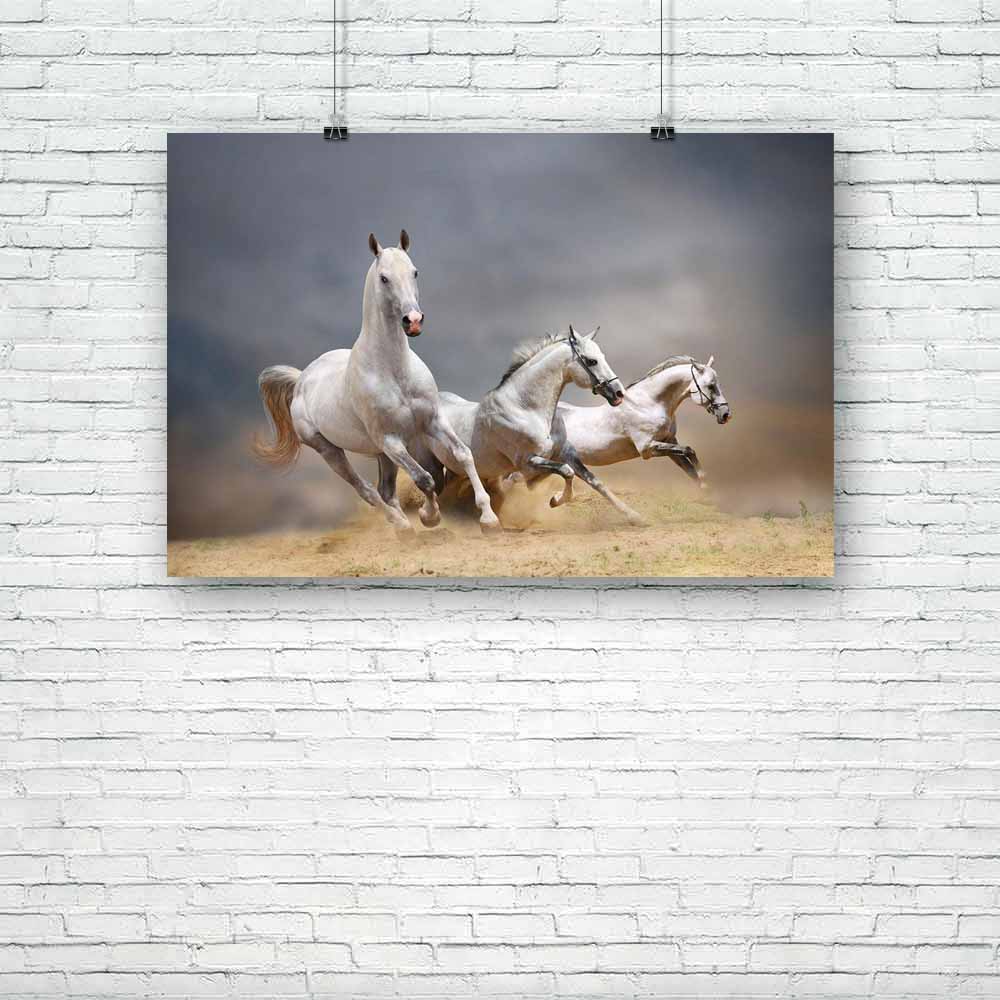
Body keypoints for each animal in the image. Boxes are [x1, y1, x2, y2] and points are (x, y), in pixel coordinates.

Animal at [252, 230, 501, 536]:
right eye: (384, 278)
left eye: (415, 272)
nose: (413, 321)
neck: (395, 373)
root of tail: (301, 379)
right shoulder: (391, 440)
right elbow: (424, 478)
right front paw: (429, 516)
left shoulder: (433, 422)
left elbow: (463, 454)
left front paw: (488, 518)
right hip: (331, 450)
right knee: (367, 490)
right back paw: (402, 525)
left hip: (381, 453)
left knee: (386, 491)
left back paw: (403, 526)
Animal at [431, 326, 647, 526]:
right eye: (591, 361)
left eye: (602, 357)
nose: (618, 393)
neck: (526, 409)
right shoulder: (528, 462)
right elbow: (566, 472)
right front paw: (555, 500)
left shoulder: (565, 453)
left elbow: (595, 481)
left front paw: (634, 516)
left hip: (454, 472)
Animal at [556, 355, 731, 487]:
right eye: (711, 385)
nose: (726, 414)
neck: (647, 404)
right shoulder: (647, 448)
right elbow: (689, 450)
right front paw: (704, 477)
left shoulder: (669, 441)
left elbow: (689, 468)